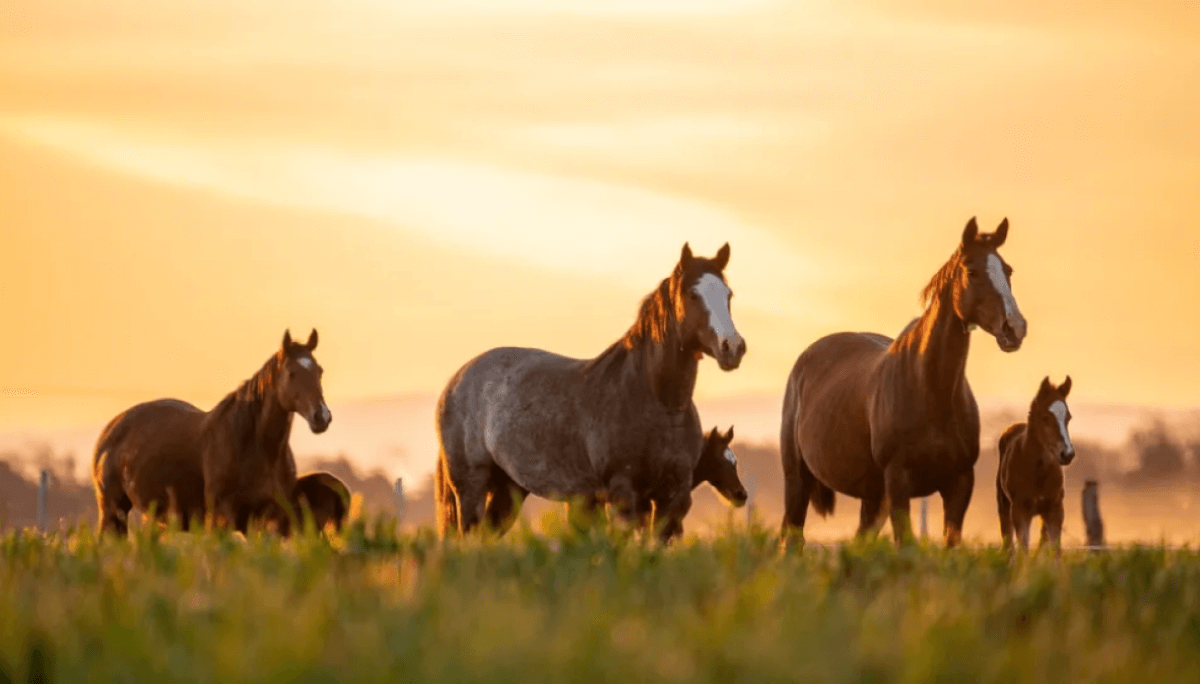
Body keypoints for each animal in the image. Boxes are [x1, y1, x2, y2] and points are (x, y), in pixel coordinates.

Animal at [92, 330, 331, 535]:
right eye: (292, 373)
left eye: (320, 371)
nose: (322, 417)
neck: (254, 446)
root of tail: (111, 429)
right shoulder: (221, 519)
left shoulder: (268, 519)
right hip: (113, 511)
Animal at [435, 243, 746, 542]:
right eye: (693, 294)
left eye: (729, 295)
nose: (733, 347)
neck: (660, 403)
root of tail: (456, 381)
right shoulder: (623, 495)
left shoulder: (672, 498)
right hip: (470, 488)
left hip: (509, 488)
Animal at [779, 218, 1027, 548]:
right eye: (972, 271)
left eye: (1008, 270)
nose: (1015, 328)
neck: (930, 389)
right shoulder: (898, 483)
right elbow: (905, 545)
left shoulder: (960, 483)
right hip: (798, 480)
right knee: (791, 537)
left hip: (872, 497)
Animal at [996, 376, 1074, 555]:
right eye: (1045, 417)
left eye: (1068, 417)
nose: (1067, 454)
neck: (1038, 472)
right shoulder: (1020, 512)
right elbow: (1023, 551)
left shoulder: (1055, 510)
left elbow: (1055, 551)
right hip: (1004, 506)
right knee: (1008, 543)